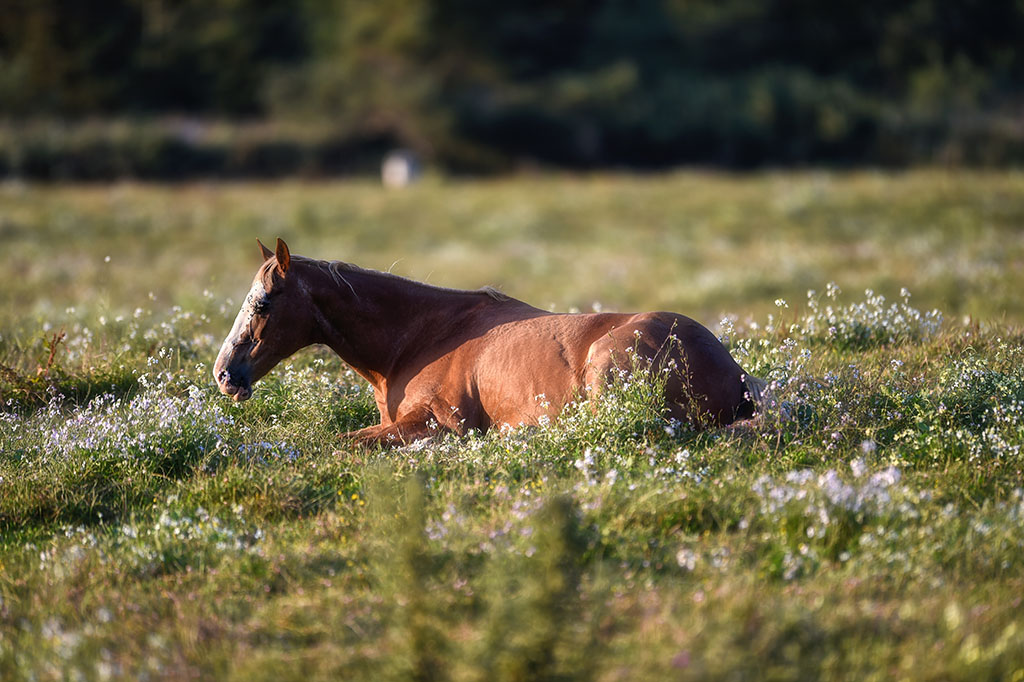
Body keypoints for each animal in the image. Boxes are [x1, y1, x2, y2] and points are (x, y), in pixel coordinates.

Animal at [214, 238, 761, 446]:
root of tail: (733, 370)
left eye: (264, 304)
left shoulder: (436, 423)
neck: (421, 337)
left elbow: (342, 442)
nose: (224, 375)